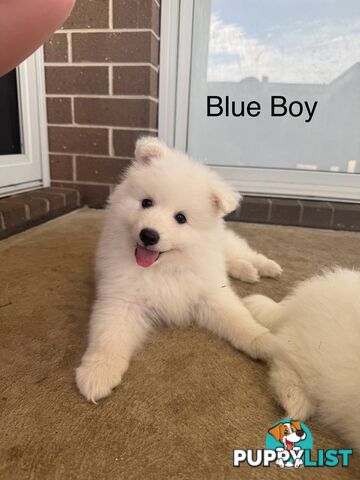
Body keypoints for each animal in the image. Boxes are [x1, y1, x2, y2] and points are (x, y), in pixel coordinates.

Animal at [75, 137, 282, 404]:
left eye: (181, 218)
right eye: (146, 202)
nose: (149, 235)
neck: (166, 267)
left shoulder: (211, 293)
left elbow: (238, 318)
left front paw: (263, 341)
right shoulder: (122, 300)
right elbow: (108, 336)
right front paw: (97, 373)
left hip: (227, 244)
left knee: (244, 252)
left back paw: (266, 267)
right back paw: (247, 271)